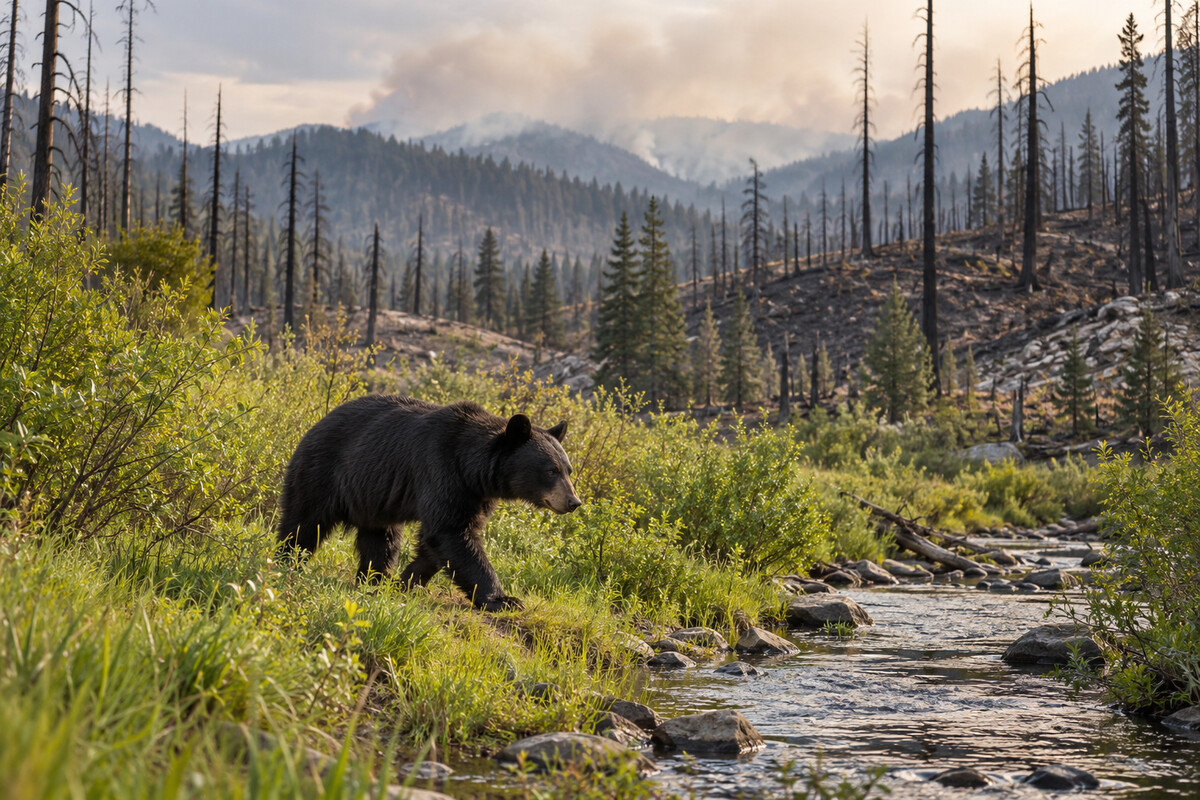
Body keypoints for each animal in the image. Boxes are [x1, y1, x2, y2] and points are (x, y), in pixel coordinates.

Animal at [277, 395, 581, 610]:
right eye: (551, 470)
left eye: (569, 469)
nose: (573, 501)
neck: (473, 469)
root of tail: (317, 422)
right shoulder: (441, 468)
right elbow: (450, 531)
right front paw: (504, 599)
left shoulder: (476, 495)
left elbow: (440, 540)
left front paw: (407, 580)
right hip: (323, 471)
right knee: (303, 522)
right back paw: (287, 559)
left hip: (373, 499)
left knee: (381, 538)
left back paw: (376, 577)